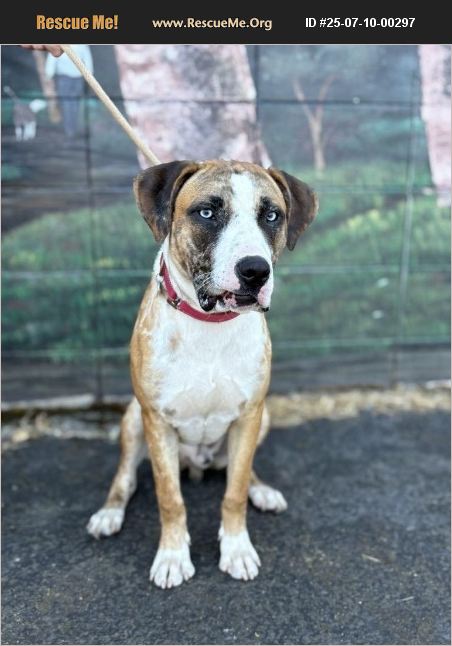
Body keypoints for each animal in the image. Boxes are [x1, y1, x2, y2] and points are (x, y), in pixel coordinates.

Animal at [87, 160, 318, 588]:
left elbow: (235, 491)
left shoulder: (248, 415)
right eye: (207, 212)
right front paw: (173, 556)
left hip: (262, 418)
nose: (255, 271)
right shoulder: (157, 421)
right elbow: (170, 499)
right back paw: (109, 513)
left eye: (272, 216)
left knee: (244, 471)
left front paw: (237, 549)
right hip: (133, 420)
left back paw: (263, 491)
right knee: (125, 478)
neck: (210, 325)